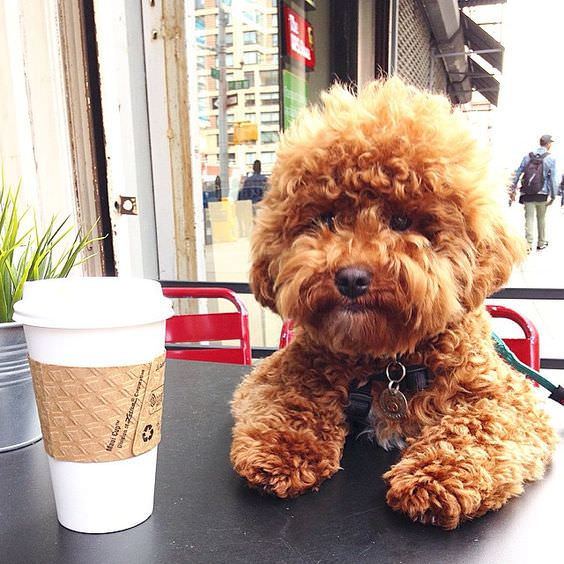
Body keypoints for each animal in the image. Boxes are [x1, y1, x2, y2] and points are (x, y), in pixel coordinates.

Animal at [229, 78, 556, 528]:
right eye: (327, 218)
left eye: (401, 222)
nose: (351, 278)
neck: (387, 363)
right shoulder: (278, 371)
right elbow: (289, 397)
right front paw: (282, 449)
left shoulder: (509, 398)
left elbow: (480, 425)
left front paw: (437, 476)